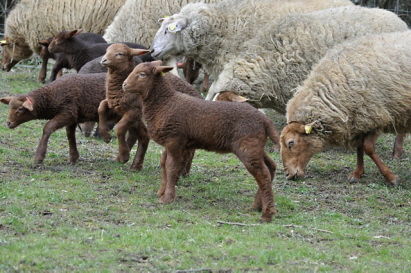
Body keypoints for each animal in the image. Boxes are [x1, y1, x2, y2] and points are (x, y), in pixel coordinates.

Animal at [122, 59, 282, 221]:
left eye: (142, 74)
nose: (124, 84)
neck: (165, 103)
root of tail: (265, 120)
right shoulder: (169, 141)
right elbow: (163, 164)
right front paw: (162, 191)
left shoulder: (175, 139)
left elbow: (171, 166)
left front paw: (167, 198)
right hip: (255, 146)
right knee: (271, 167)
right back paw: (257, 206)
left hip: (248, 147)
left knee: (262, 174)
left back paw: (267, 213)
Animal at [280, 30, 411, 187]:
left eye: (291, 143)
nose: (288, 175)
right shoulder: (360, 119)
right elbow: (360, 146)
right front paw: (357, 174)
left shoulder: (377, 115)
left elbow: (367, 147)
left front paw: (391, 177)